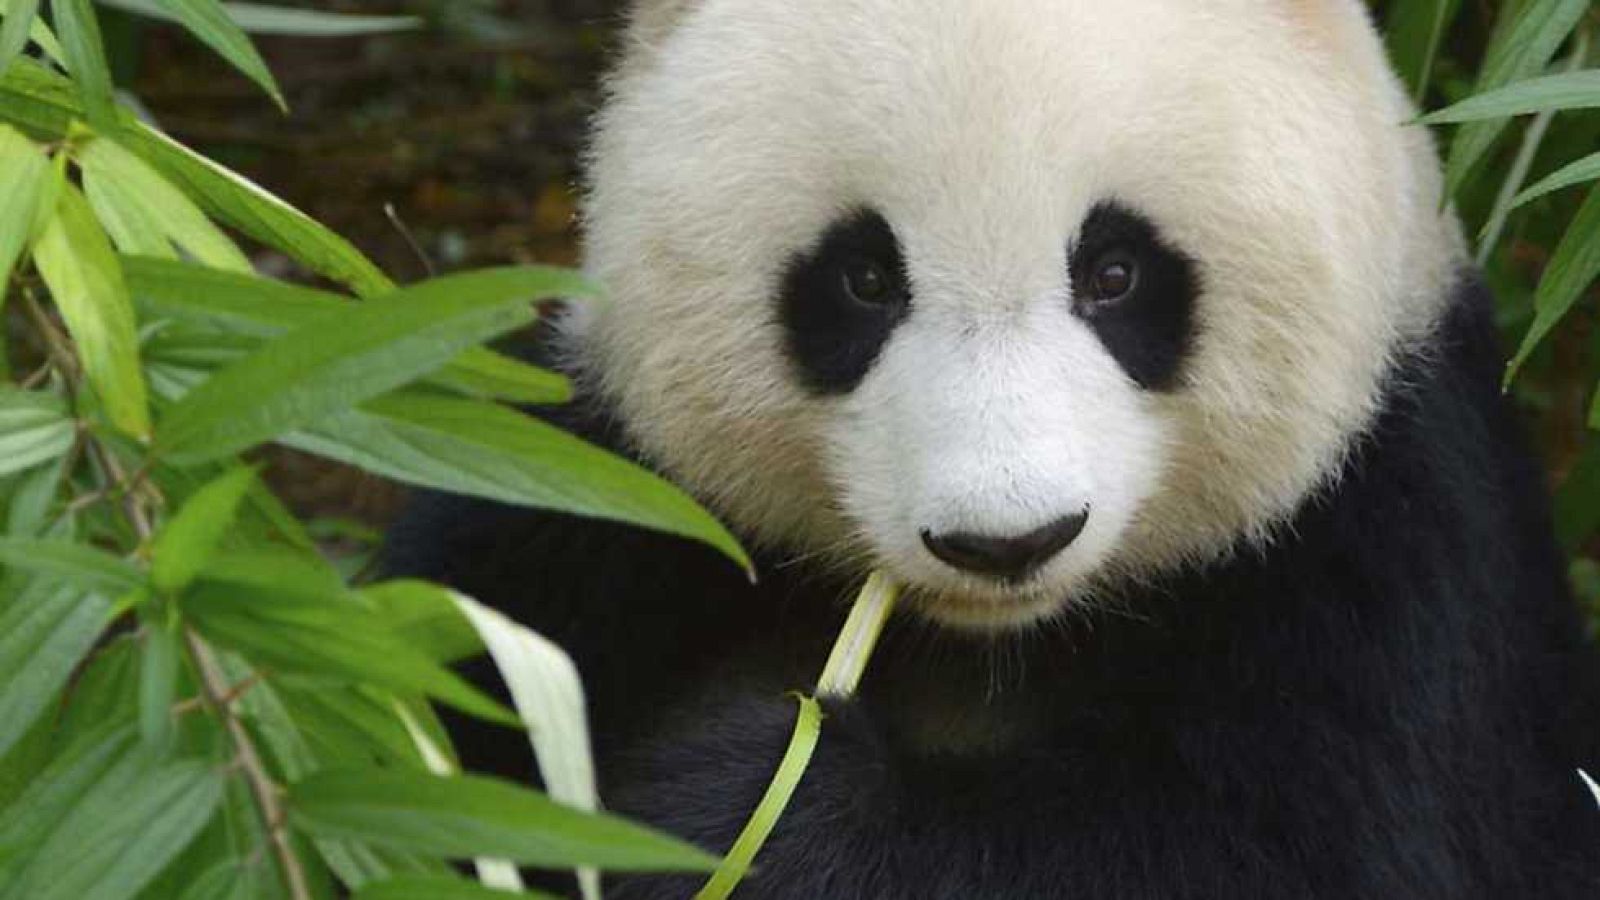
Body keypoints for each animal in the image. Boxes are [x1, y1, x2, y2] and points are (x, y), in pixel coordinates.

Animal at [386, 0, 1600, 896]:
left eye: (1115, 272)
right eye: (863, 278)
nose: (1008, 541)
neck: (992, 644)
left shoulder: (1393, 552)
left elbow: (1277, 848)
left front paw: (743, 803)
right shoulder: (604, 489)